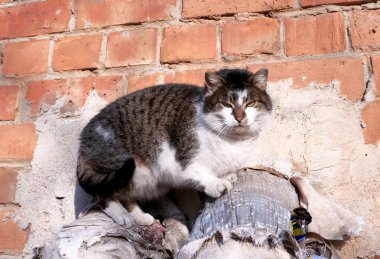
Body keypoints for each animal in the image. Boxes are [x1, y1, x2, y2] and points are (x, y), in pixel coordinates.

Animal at [78, 68, 274, 226]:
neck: (234, 141)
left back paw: (140, 217)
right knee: (104, 195)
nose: (239, 117)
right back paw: (124, 216)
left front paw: (227, 175)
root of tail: (82, 141)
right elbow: (200, 173)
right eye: (227, 104)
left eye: (250, 103)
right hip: (128, 168)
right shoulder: (183, 158)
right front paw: (217, 183)